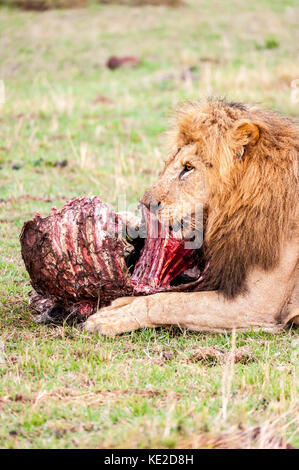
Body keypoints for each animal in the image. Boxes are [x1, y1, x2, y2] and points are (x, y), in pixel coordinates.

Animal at [85, 97, 299, 336]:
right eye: (167, 164)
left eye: (188, 168)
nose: (146, 203)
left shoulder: (258, 303)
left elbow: (167, 301)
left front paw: (110, 318)